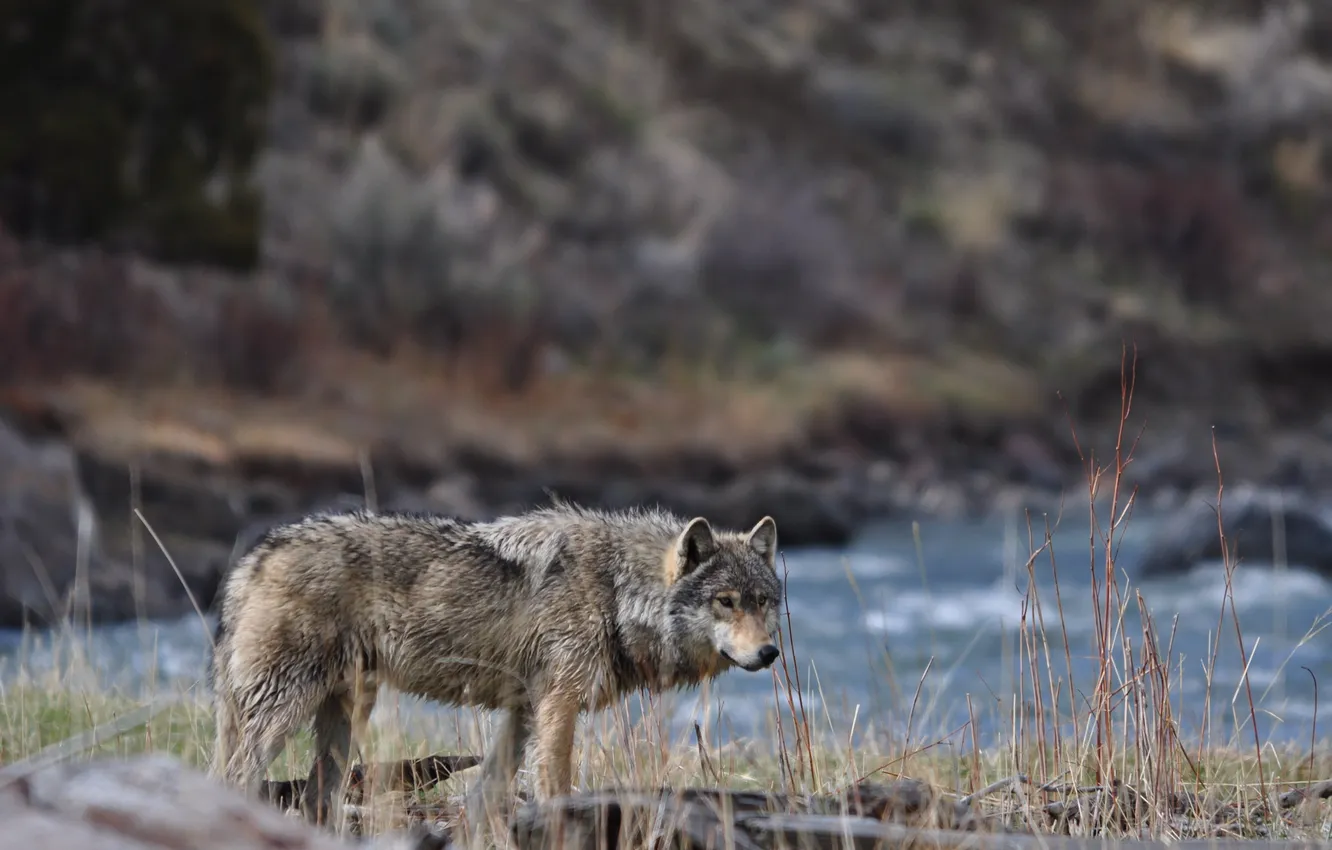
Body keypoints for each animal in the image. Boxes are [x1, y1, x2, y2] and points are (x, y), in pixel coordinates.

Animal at [210, 503, 777, 831]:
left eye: (764, 602)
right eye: (726, 602)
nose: (770, 653)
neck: (618, 590)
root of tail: (252, 560)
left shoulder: (524, 711)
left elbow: (486, 796)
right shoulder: (558, 705)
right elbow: (555, 788)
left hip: (342, 719)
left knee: (312, 801)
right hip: (283, 713)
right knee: (234, 780)